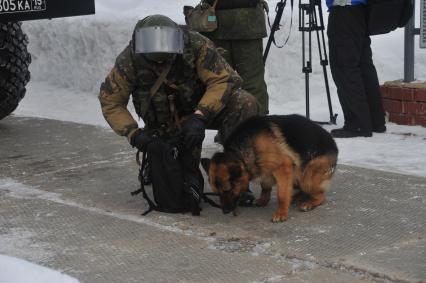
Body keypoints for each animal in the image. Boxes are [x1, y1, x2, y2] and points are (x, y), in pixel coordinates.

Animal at [201, 114, 338, 223]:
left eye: (227, 190)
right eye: (217, 192)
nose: (224, 211)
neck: (241, 150)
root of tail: (334, 145)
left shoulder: (283, 167)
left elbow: (281, 195)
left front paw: (281, 213)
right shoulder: (264, 168)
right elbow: (265, 186)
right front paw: (263, 199)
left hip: (307, 176)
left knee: (320, 195)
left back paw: (309, 202)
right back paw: (296, 197)